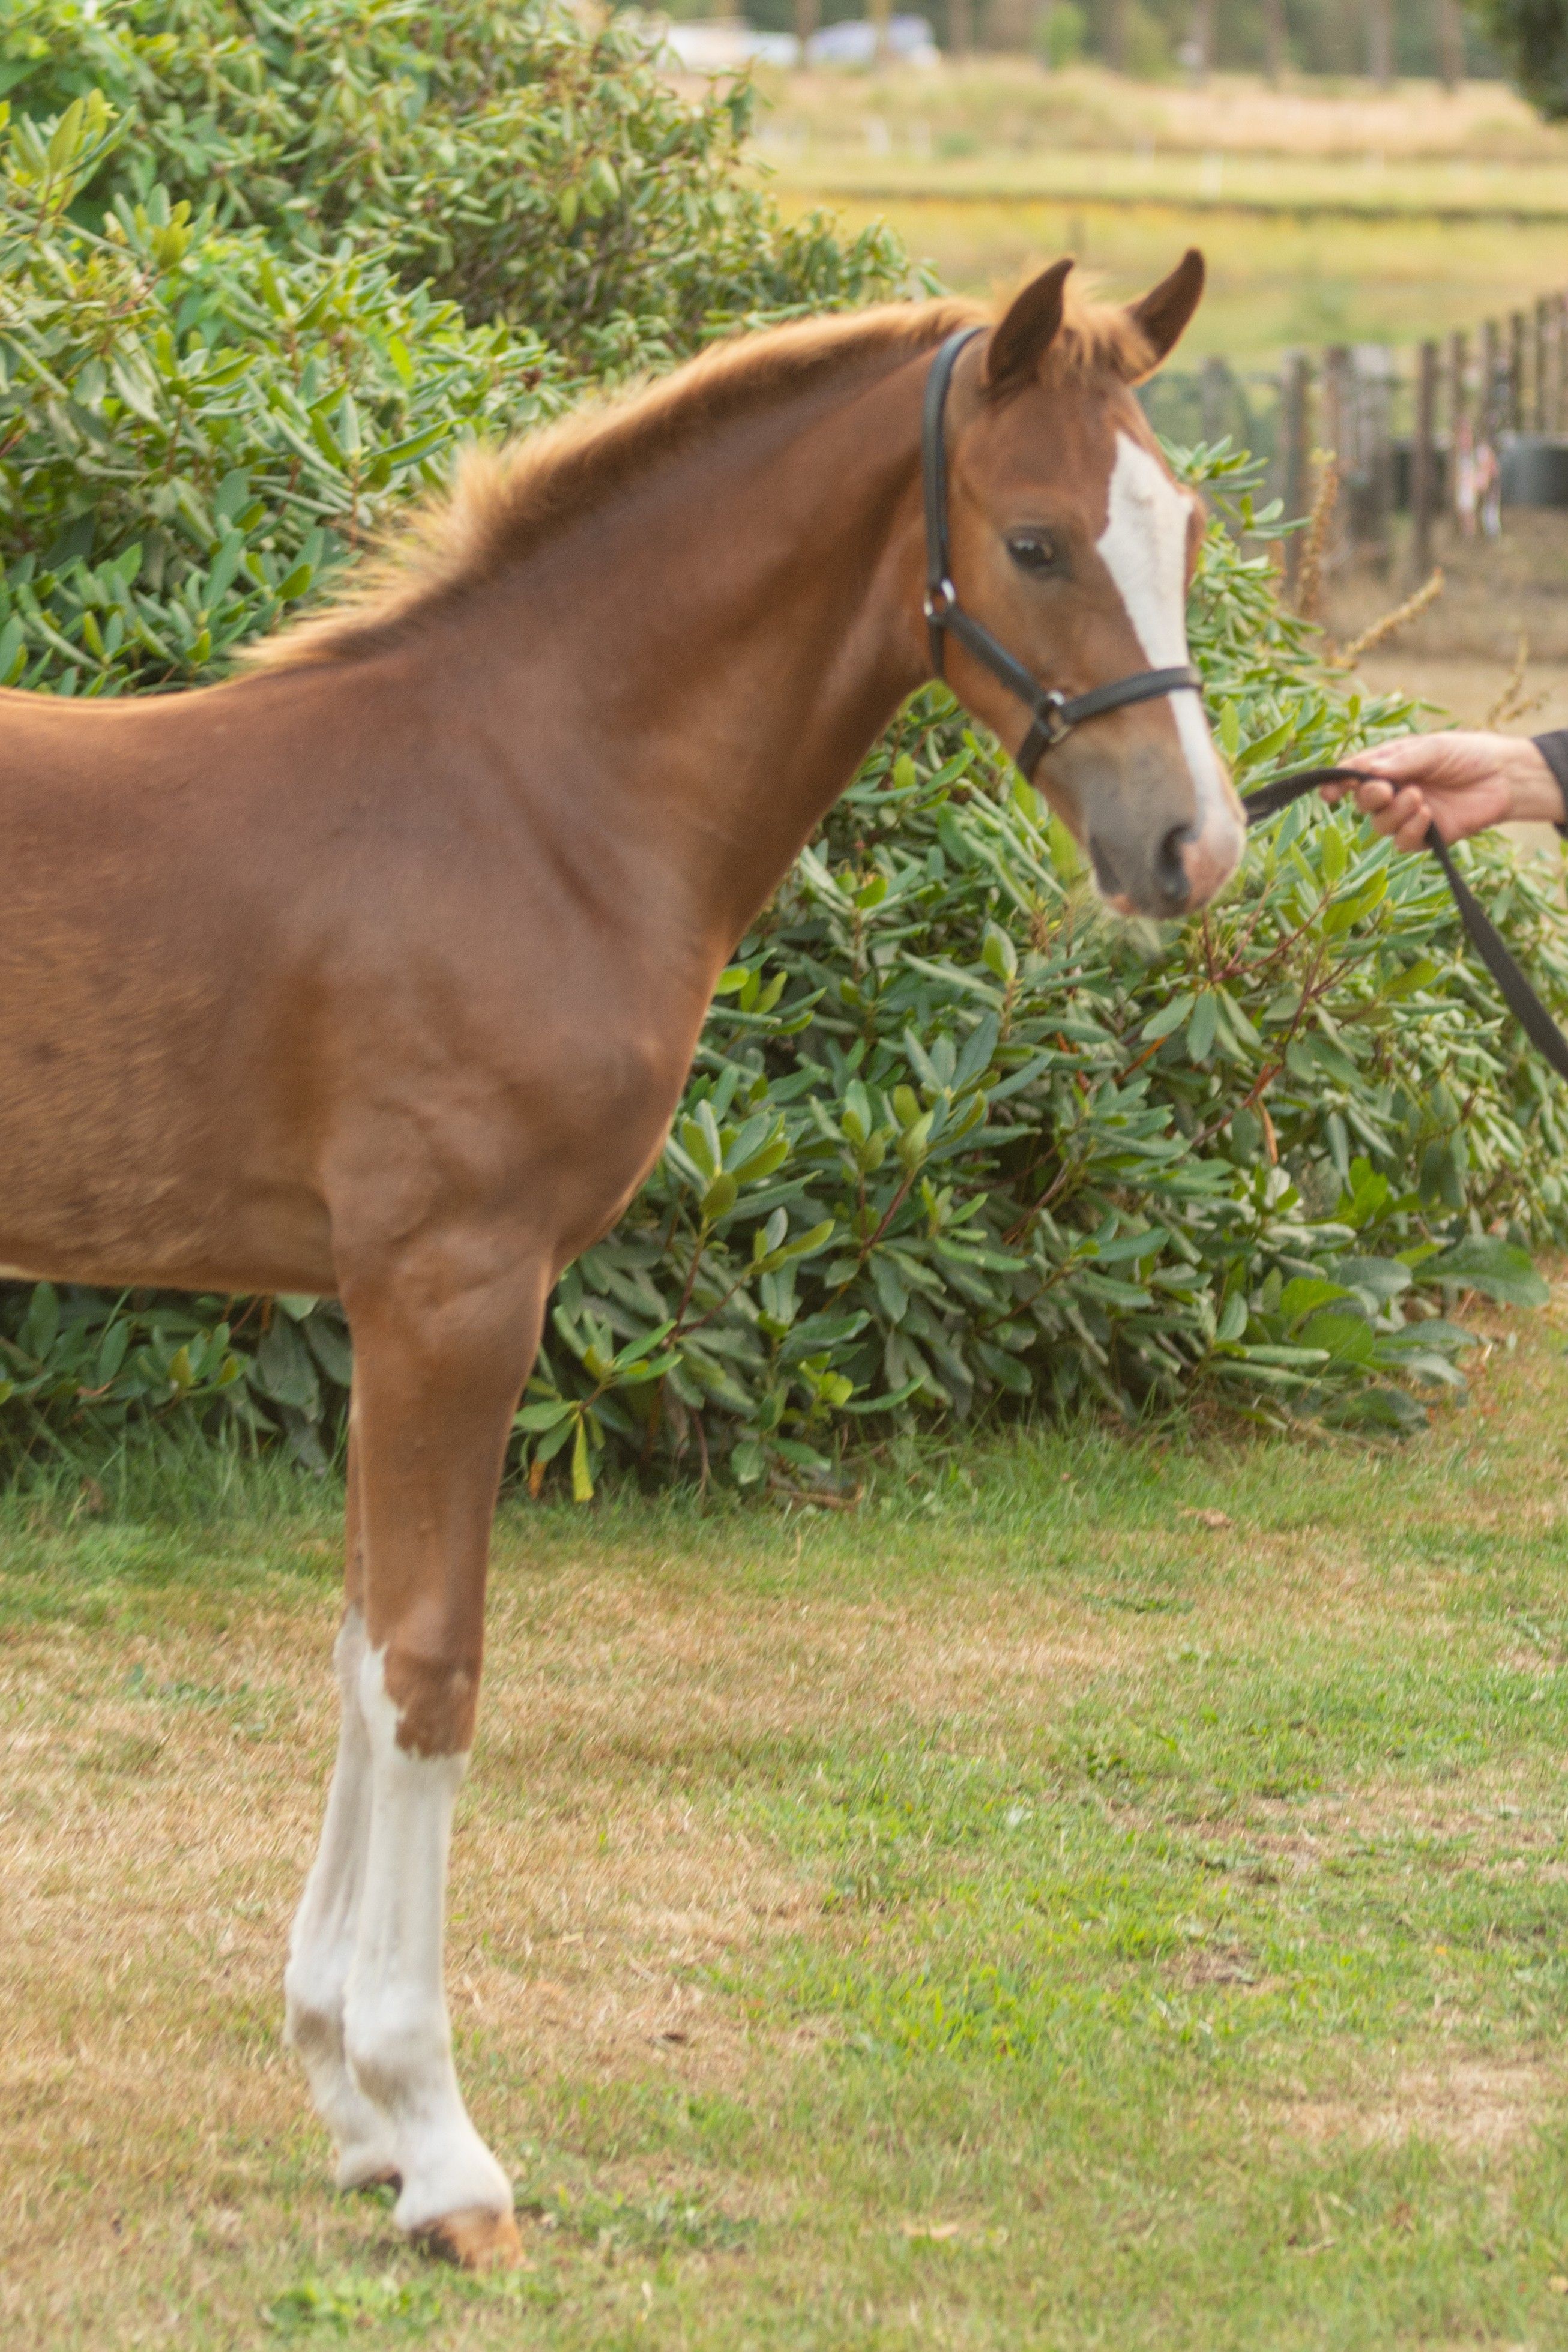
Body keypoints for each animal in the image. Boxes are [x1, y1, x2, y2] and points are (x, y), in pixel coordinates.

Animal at [0, 250, 1243, 2266]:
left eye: (1186, 526)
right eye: (1038, 540)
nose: (1191, 848)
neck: (531, 799)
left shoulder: (387, 1303)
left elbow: (358, 1646)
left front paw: (346, 2096)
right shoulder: (455, 1288)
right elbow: (429, 1668)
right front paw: (439, 2147)